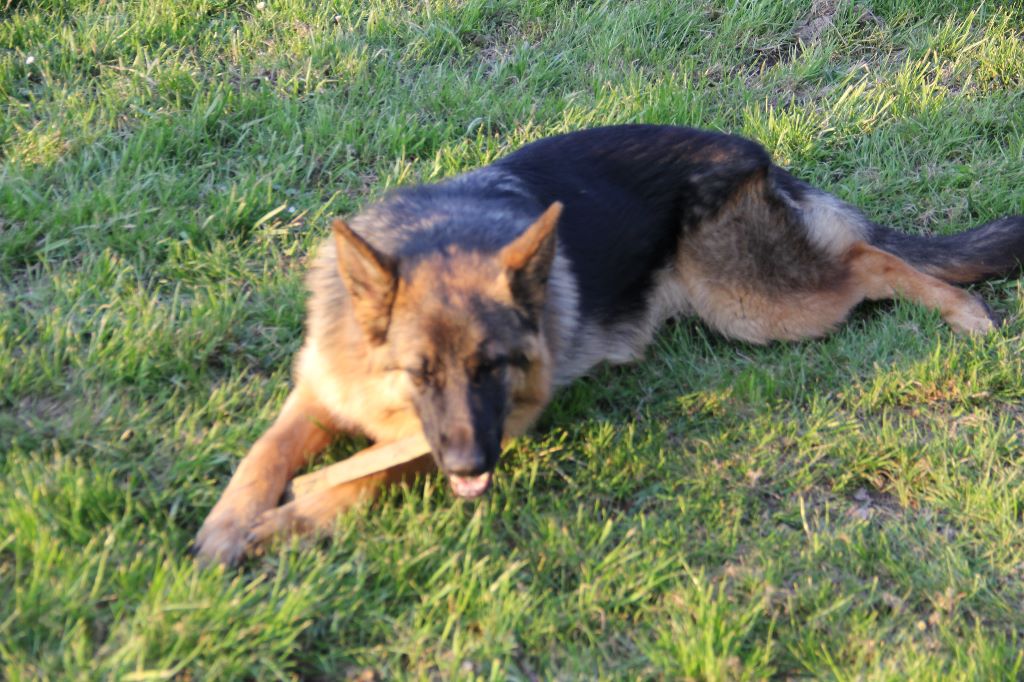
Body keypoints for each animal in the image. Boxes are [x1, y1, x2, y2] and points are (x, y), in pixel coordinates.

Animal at [193, 123, 1024, 561]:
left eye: (492, 368)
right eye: (419, 371)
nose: (473, 467)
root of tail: (750, 153)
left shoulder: (508, 419)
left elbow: (366, 472)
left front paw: (290, 512)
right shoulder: (319, 389)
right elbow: (267, 450)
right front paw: (229, 524)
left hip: (754, 305)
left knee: (871, 262)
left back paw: (962, 312)